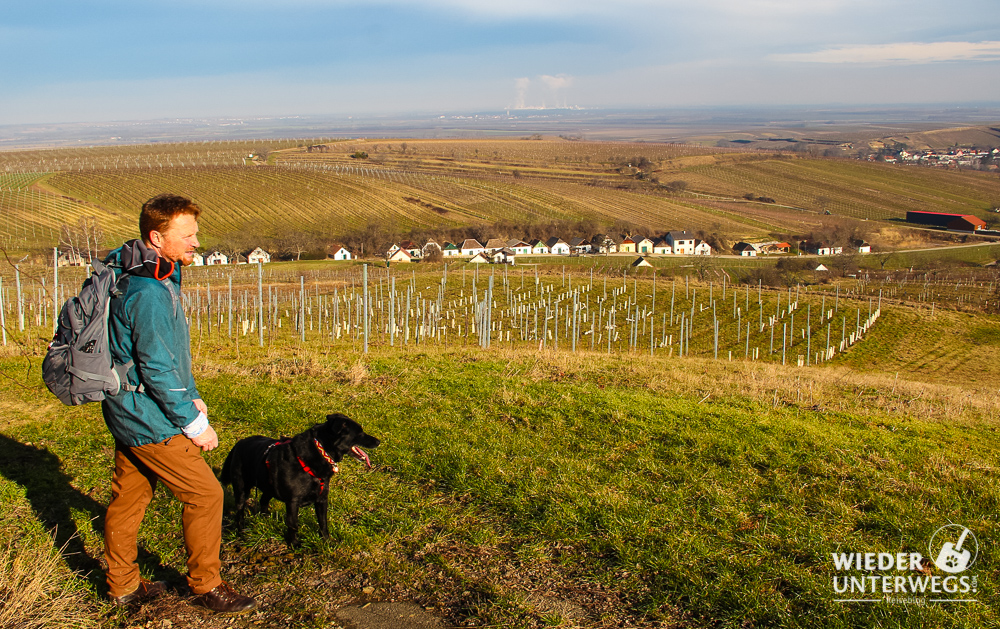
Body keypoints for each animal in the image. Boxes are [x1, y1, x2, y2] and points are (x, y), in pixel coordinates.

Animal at [222, 412, 378, 544]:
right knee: (240, 511)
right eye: (360, 433)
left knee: (263, 500)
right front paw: (294, 544)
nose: (378, 441)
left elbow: (323, 523)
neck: (320, 450)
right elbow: (293, 525)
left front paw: (326, 541)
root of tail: (239, 443)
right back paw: (242, 532)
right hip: (241, 488)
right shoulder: (293, 501)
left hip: (269, 486)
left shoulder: (322, 499)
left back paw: (266, 519)